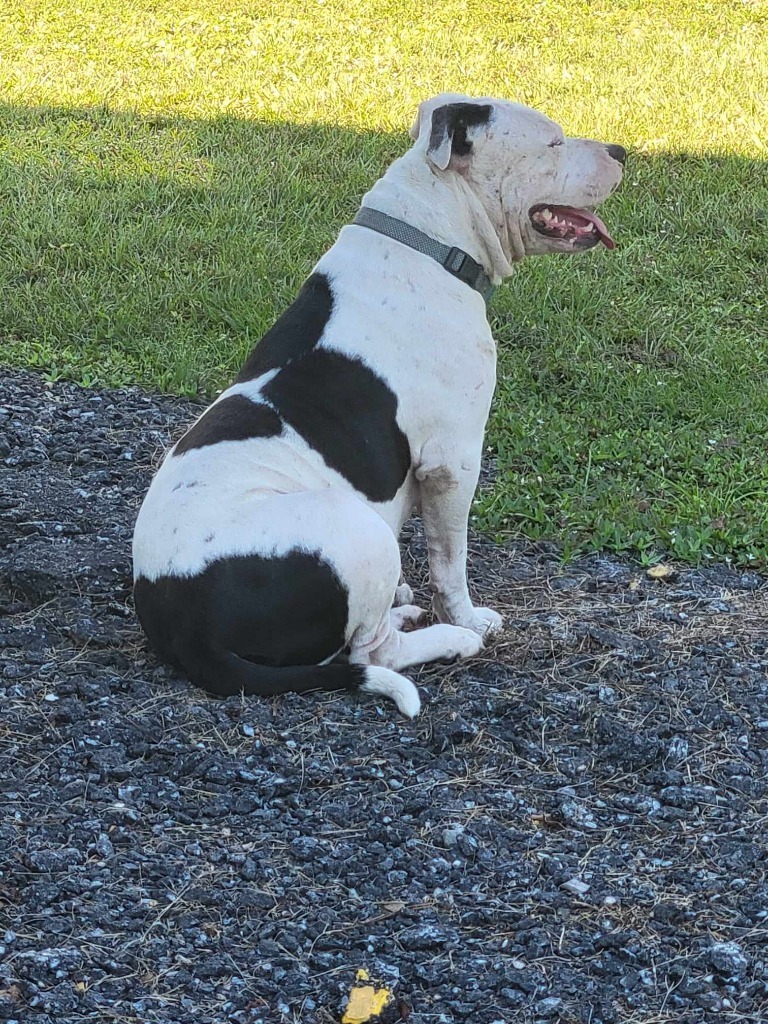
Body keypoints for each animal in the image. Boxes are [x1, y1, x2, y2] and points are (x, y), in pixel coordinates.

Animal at [132, 96, 626, 720]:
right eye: (553, 142)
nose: (622, 151)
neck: (427, 240)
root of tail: (181, 623)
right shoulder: (452, 461)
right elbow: (450, 559)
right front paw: (468, 618)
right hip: (358, 534)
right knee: (376, 652)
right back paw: (450, 638)